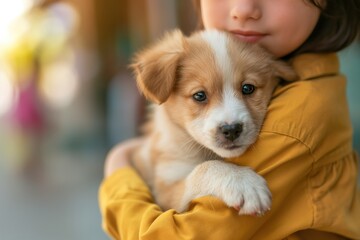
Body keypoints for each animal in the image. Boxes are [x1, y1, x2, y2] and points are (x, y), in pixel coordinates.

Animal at [129, 29, 296, 215]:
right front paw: (244, 183)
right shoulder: (165, 189)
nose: (231, 129)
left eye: (248, 88)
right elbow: (203, 168)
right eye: (199, 95)